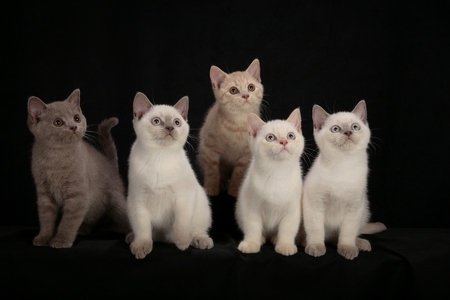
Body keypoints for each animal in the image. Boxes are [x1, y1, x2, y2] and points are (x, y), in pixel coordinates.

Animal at [27, 89, 130, 248]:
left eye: (76, 118)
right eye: (58, 122)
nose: (73, 127)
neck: (56, 158)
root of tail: (110, 165)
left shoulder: (78, 195)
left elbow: (68, 222)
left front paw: (61, 240)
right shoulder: (44, 194)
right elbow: (46, 219)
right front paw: (44, 237)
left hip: (116, 201)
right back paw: (82, 230)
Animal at [125, 92, 213, 258]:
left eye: (177, 122)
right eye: (157, 121)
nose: (170, 127)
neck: (160, 157)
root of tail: (165, 239)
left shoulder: (183, 198)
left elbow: (181, 224)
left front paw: (183, 243)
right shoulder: (138, 200)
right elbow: (143, 228)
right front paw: (141, 246)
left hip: (202, 204)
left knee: (197, 229)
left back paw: (199, 240)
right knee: (147, 232)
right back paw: (131, 238)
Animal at [198, 58, 264, 197]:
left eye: (251, 87)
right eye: (233, 90)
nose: (245, 95)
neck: (238, 125)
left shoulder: (246, 155)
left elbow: (239, 173)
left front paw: (235, 189)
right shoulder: (209, 149)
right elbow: (212, 170)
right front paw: (211, 187)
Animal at [236, 109, 306, 256]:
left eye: (291, 136)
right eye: (270, 137)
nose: (284, 141)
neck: (277, 173)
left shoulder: (292, 211)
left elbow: (288, 229)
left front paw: (285, 245)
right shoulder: (251, 208)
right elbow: (252, 227)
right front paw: (251, 244)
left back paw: (275, 239)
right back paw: (262, 239)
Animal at [300, 99, 382, 258]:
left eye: (355, 127)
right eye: (336, 129)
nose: (348, 132)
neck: (343, 165)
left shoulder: (354, 207)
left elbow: (347, 233)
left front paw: (347, 248)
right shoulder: (315, 204)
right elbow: (316, 230)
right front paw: (316, 247)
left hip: (364, 210)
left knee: (342, 236)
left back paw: (360, 244)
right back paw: (304, 241)